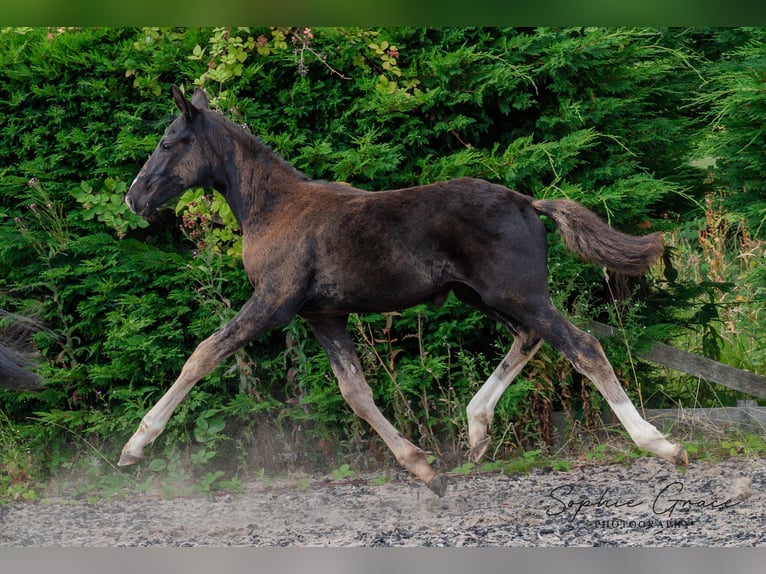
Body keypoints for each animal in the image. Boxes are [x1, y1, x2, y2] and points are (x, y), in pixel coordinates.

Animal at [121, 84, 688, 496]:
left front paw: (135, 445)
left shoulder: (274, 303)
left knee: (583, 347)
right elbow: (356, 393)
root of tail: (529, 202)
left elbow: (203, 353)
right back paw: (476, 430)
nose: (133, 198)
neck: (273, 206)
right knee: (530, 339)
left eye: (167, 143)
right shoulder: (322, 315)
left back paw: (661, 444)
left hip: (518, 294)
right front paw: (424, 467)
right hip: (486, 296)